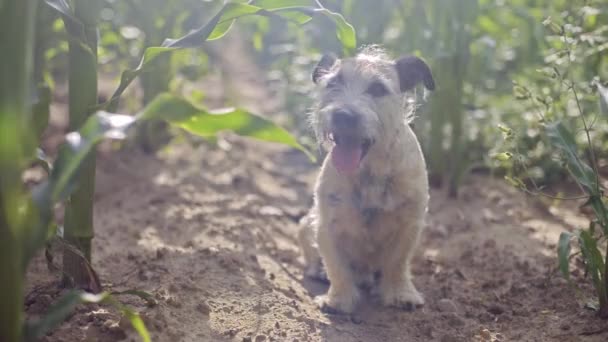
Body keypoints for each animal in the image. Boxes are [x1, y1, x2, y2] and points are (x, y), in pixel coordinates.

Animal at [298, 46, 432, 314]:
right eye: (333, 83)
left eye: (378, 89)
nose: (343, 115)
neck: (369, 171)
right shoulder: (326, 225)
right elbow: (336, 266)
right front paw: (339, 300)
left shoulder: (409, 224)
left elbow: (398, 263)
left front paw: (401, 293)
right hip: (306, 223)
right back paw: (318, 271)